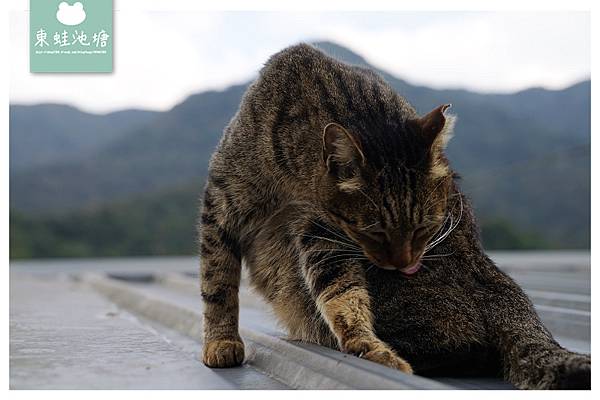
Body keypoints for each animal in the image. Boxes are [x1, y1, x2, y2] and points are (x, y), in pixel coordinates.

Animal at [198, 44, 592, 390]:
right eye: (375, 234)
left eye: (424, 228)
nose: (405, 265)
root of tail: (512, 304)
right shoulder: (223, 205)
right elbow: (217, 283)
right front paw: (221, 342)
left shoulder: (322, 230)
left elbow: (340, 292)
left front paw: (367, 346)